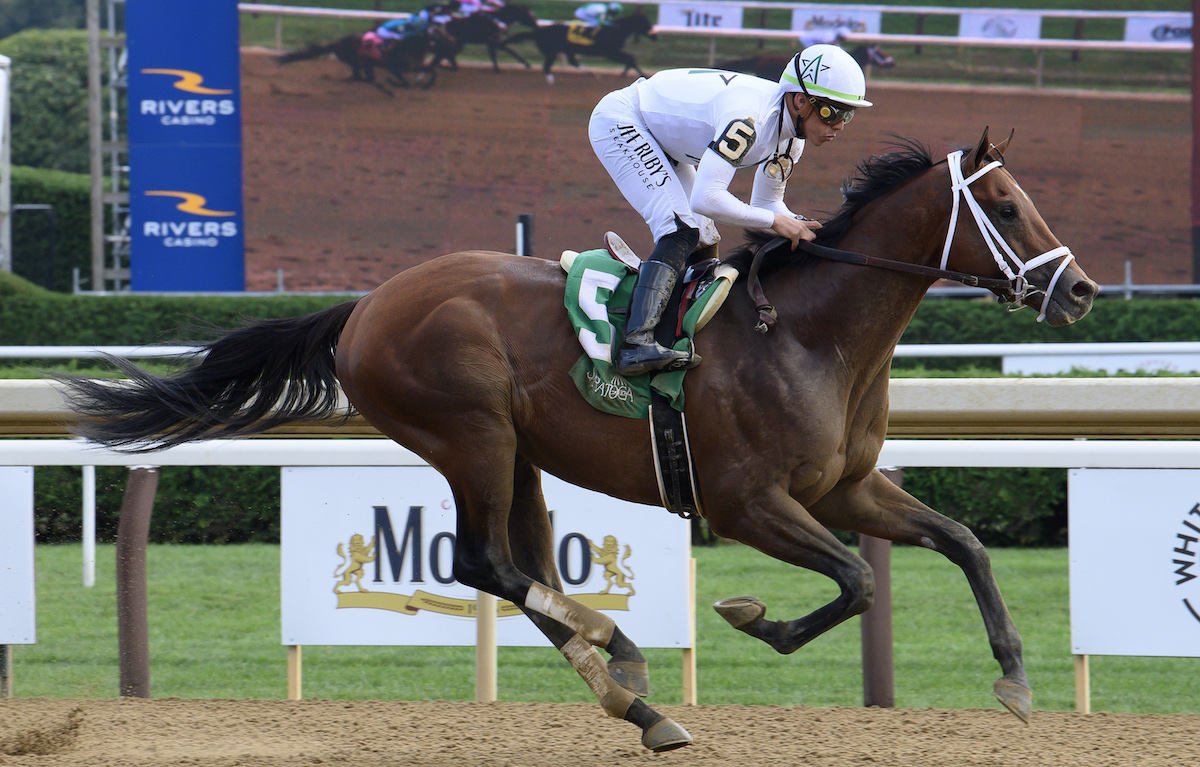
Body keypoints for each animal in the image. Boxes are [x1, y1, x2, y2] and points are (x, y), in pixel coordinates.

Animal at [63, 130, 1099, 748]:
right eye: (1007, 207)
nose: (1082, 289)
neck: (807, 332)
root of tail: (363, 306)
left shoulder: (843, 487)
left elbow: (959, 541)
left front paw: (1015, 678)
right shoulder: (746, 501)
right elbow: (855, 580)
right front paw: (753, 616)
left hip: (519, 452)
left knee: (519, 563)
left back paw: (634, 695)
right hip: (470, 433)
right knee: (482, 560)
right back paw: (620, 654)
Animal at [504, 11, 662, 81]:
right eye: (645, 23)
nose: (655, 36)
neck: (616, 30)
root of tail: (539, 30)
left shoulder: (614, 52)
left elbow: (630, 58)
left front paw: (625, 73)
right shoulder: (610, 52)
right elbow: (630, 58)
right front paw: (643, 75)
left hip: (565, 50)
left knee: (572, 62)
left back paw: (592, 73)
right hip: (552, 51)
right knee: (547, 66)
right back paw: (552, 81)